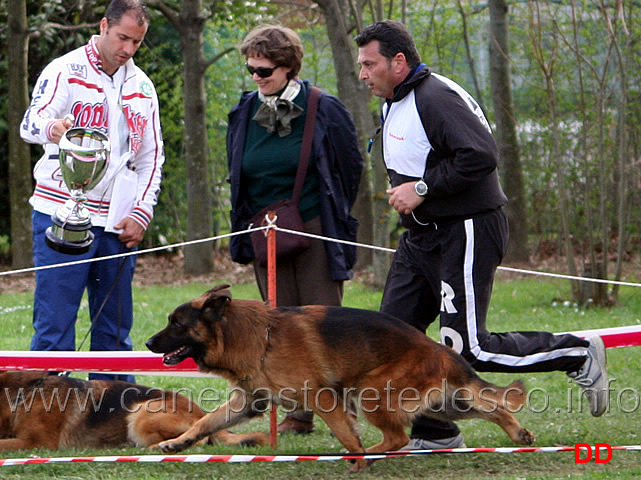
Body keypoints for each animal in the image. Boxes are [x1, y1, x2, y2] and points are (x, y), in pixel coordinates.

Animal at [0, 370, 268, 452]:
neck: (24, 394)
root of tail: (201, 413)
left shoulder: (36, 443)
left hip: (142, 412)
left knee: (195, 442)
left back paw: (161, 447)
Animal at [148, 284, 532, 472]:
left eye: (176, 324)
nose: (149, 343)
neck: (256, 337)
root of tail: (439, 349)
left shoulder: (324, 398)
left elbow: (347, 434)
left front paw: (357, 458)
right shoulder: (249, 403)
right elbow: (206, 422)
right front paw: (176, 444)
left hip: (372, 392)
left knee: (397, 437)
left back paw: (367, 455)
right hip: (446, 405)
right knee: (494, 408)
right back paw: (518, 433)